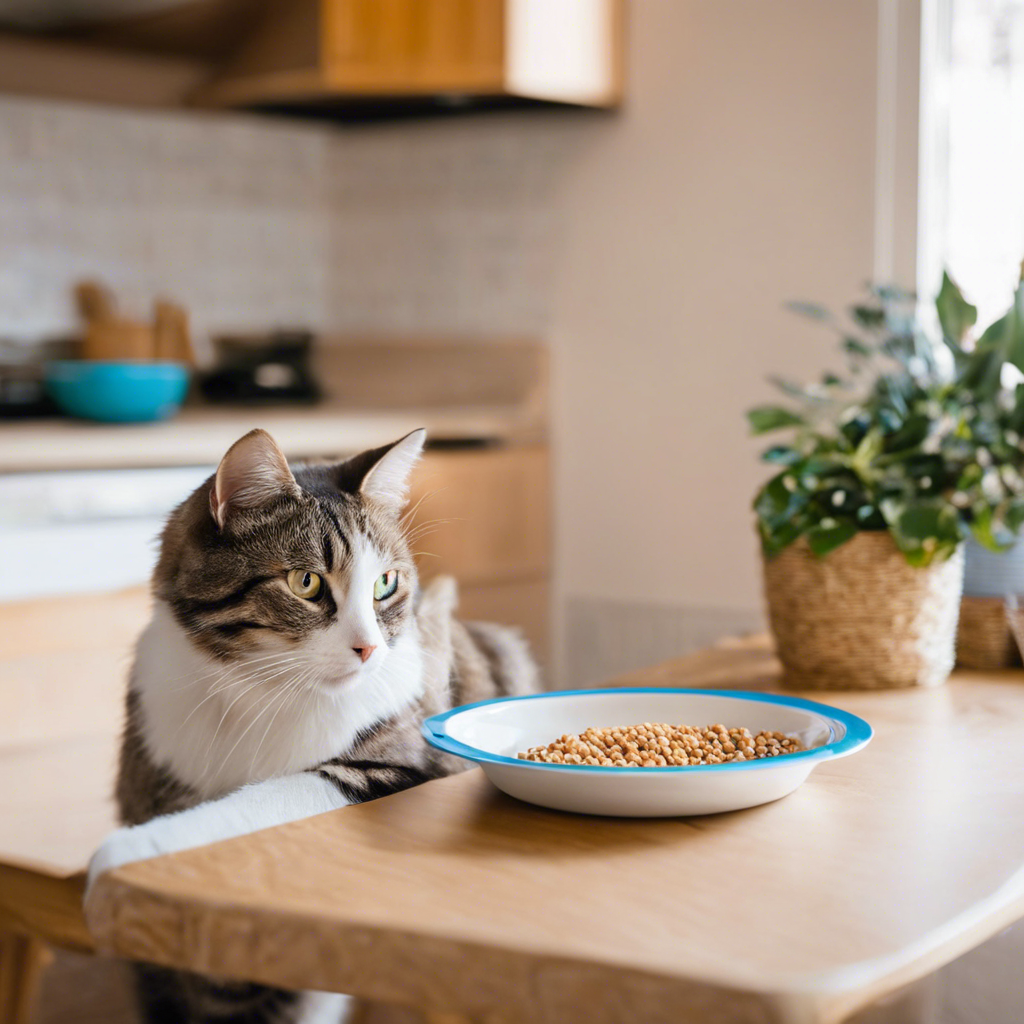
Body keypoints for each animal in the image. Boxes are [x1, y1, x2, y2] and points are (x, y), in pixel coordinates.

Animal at [89, 428, 540, 1024]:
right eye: (305, 582)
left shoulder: (392, 768)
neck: (257, 690)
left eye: (385, 584)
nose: (368, 648)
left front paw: (130, 852)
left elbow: (267, 798)